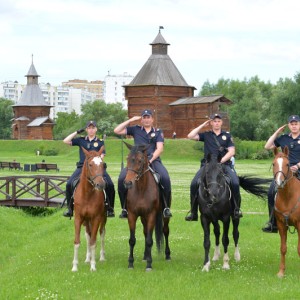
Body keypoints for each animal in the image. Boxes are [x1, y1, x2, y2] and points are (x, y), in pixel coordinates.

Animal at [122, 142, 170, 270]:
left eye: (140, 160)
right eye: (127, 158)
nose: (128, 183)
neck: (141, 189)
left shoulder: (151, 214)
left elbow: (149, 240)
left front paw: (149, 264)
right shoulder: (132, 215)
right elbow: (132, 240)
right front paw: (130, 263)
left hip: (163, 215)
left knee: (165, 231)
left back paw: (167, 255)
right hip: (143, 217)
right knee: (145, 232)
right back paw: (145, 255)